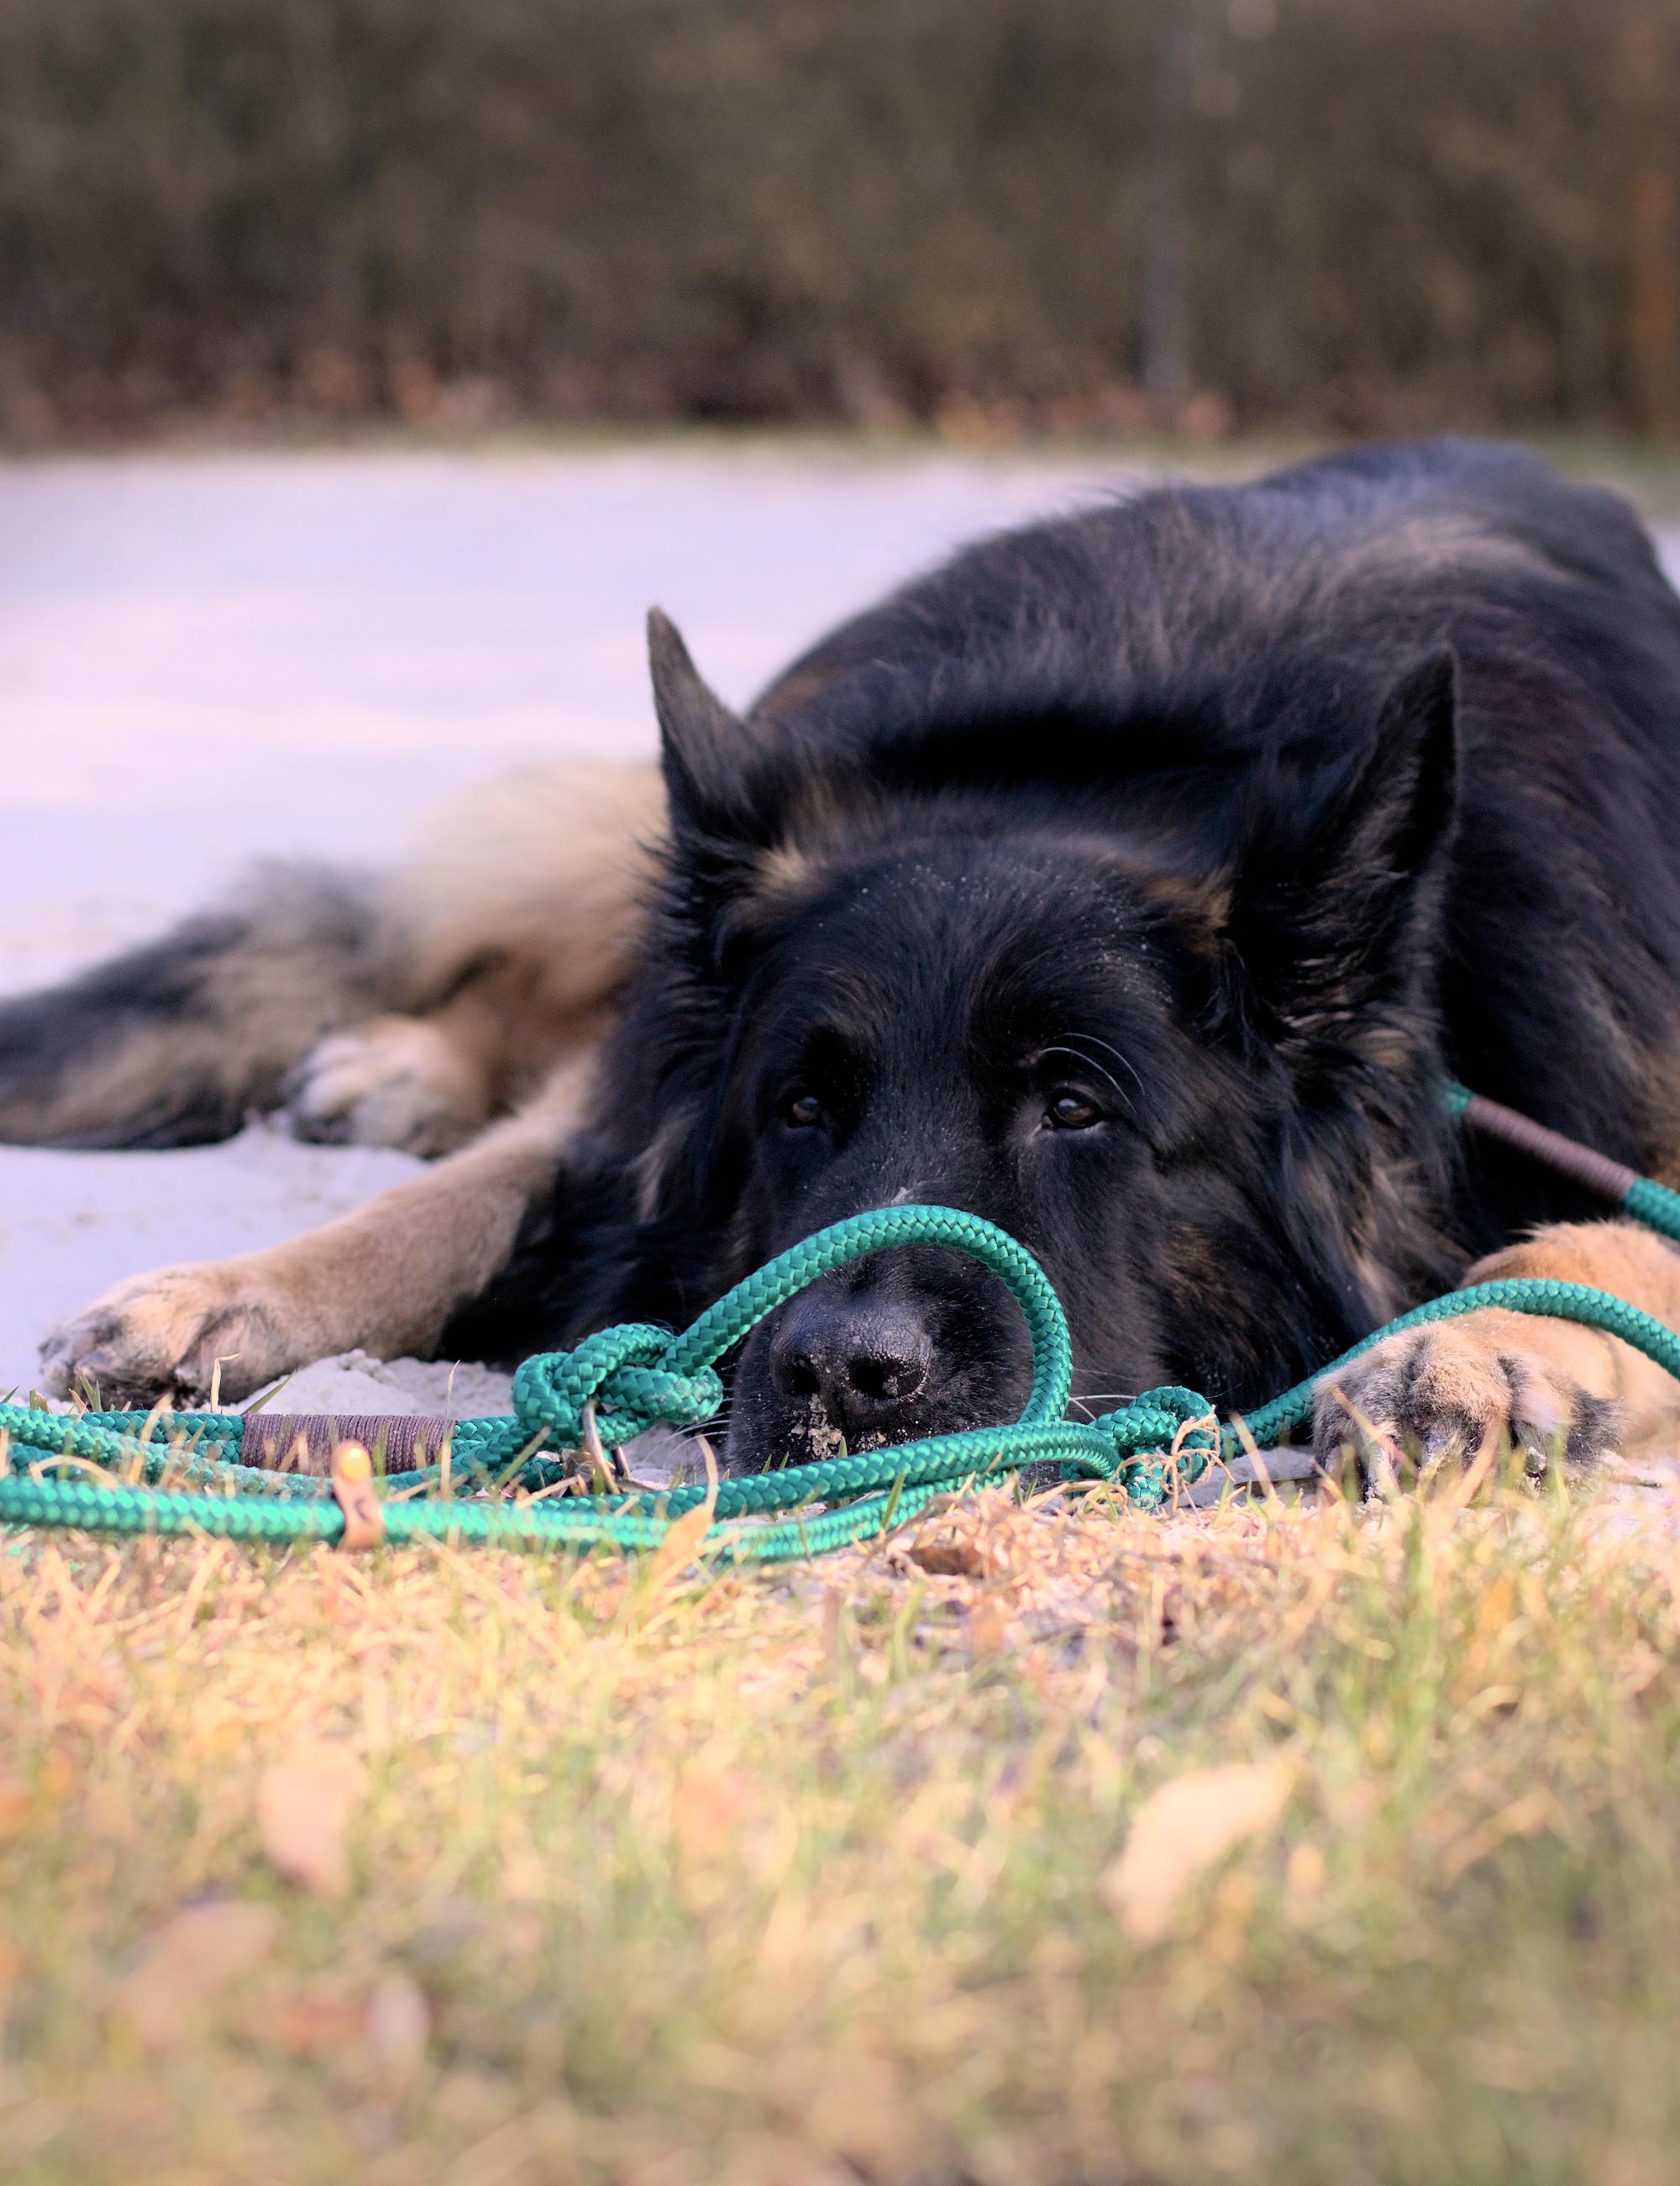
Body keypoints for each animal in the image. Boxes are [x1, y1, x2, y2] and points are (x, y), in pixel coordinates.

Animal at [9, 434, 1677, 1477]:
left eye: (1076, 1107)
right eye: (801, 1111)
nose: (840, 1379)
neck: (1143, 755)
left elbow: (1611, 1237)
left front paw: (1481, 1340)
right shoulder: (649, 1098)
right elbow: (476, 1193)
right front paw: (229, 1293)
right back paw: (397, 1066)